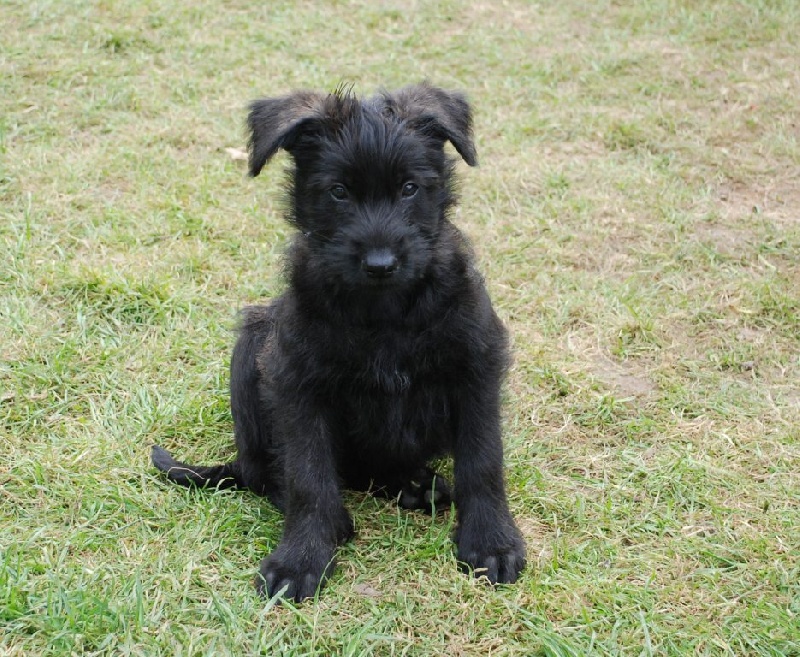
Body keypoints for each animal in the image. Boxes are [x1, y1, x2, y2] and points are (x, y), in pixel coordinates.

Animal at [151, 83, 526, 602]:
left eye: (410, 188)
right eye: (339, 192)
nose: (380, 263)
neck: (384, 311)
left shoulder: (476, 366)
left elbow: (483, 460)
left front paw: (491, 541)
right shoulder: (297, 382)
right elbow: (308, 475)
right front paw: (302, 556)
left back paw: (413, 485)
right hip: (253, 344)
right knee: (263, 473)